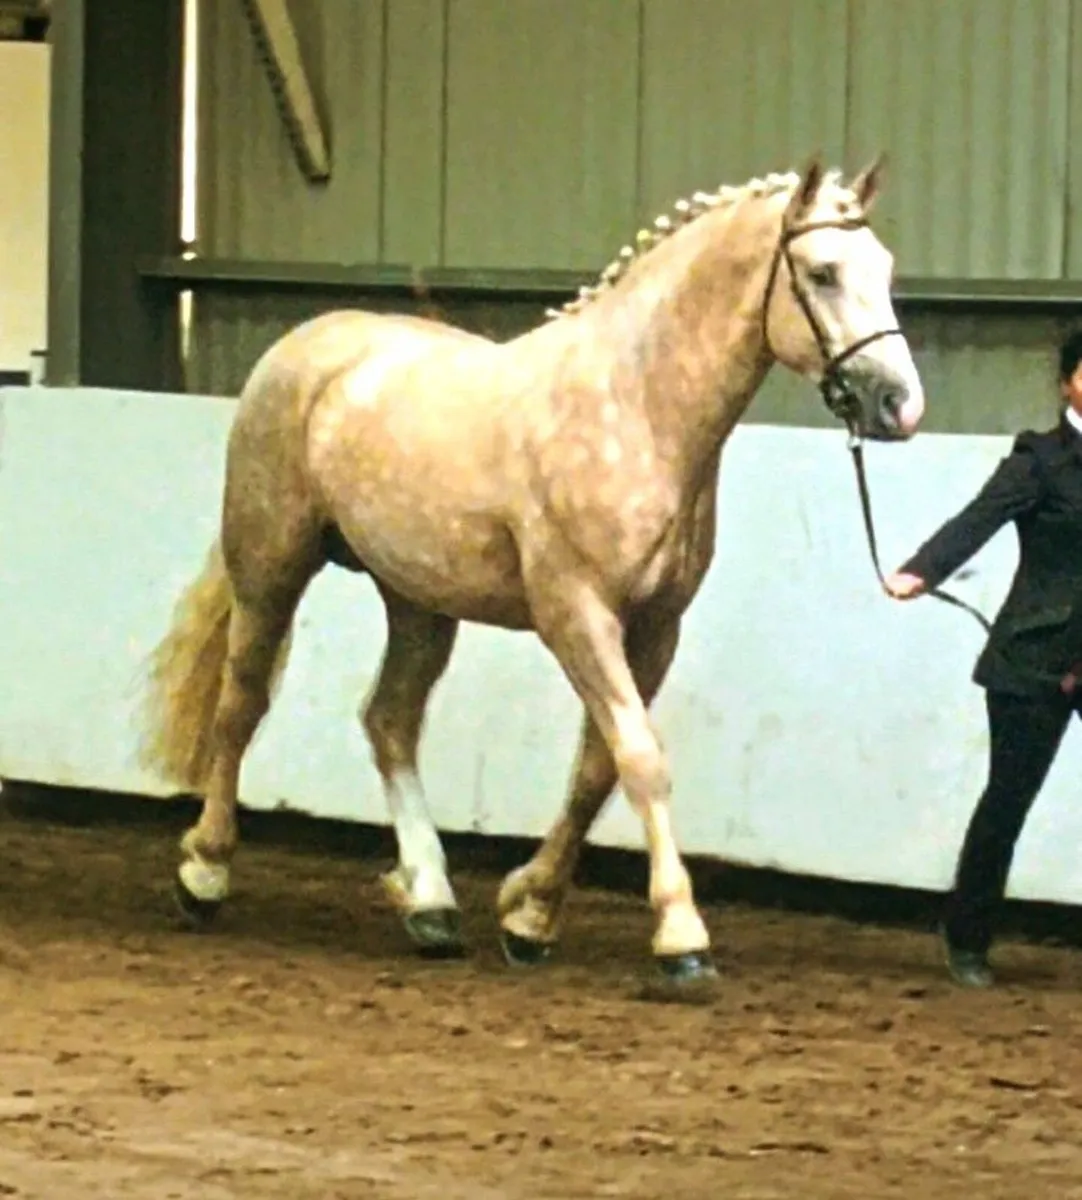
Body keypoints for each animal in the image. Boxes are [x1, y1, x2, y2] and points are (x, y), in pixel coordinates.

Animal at [138, 153, 926, 998]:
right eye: (822, 272)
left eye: (884, 269)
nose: (899, 405)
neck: (637, 405)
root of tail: (306, 344)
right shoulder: (576, 613)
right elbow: (640, 759)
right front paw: (681, 938)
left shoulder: (655, 628)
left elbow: (596, 770)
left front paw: (530, 915)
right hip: (271, 569)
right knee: (242, 704)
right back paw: (205, 872)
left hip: (417, 602)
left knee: (388, 720)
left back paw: (431, 903)